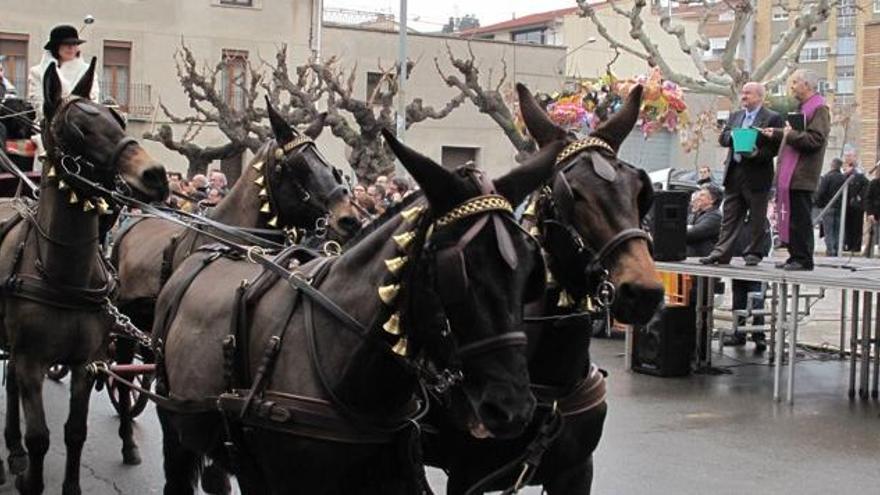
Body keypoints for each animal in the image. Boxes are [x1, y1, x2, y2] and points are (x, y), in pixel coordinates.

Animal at [422, 83, 664, 494]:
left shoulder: (576, 472)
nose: (643, 290)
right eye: (573, 193)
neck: (549, 388)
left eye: (639, 191)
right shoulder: (467, 476)